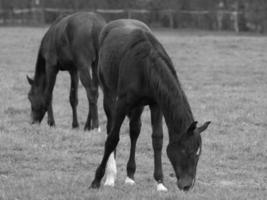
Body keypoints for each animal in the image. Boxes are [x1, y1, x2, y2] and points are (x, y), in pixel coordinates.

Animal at [91, 19, 213, 191]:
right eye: (185, 150)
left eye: (198, 153)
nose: (187, 185)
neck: (145, 66)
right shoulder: (122, 103)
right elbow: (113, 138)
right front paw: (96, 180)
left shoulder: (156, 103)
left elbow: (157, 139)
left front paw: (160, 183)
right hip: (109, 93)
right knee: (110, 128)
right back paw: (110, 176)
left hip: (138, 105)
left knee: (134, 130)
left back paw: (130, 176)